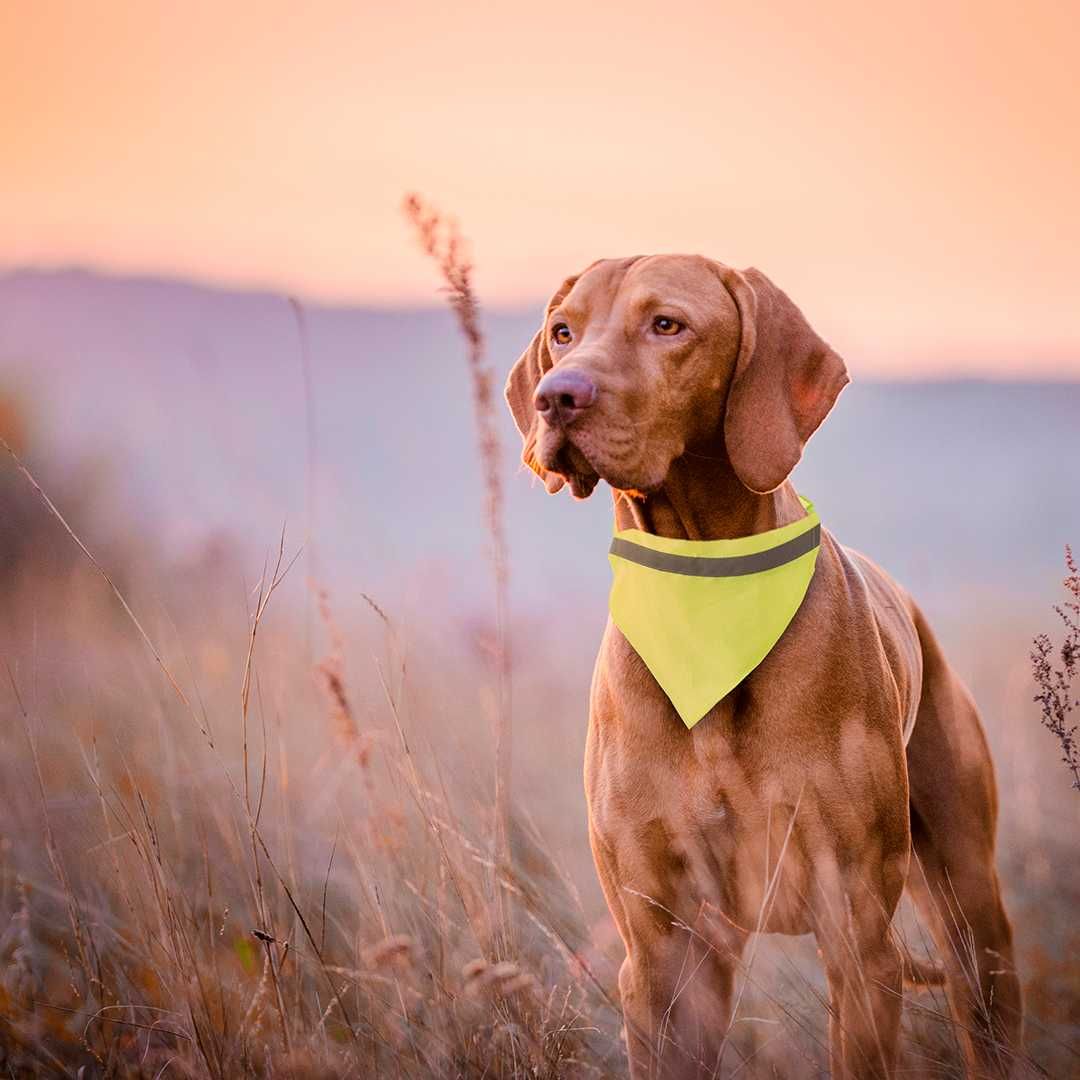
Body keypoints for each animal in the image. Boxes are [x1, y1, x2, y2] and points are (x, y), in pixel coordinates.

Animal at [501, 257, 1023, 1075]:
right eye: (562, 331)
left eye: (667, 325)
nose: (557, 396)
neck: (705, 593)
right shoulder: (664, 953)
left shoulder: (856, 934)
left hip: (972, 910)